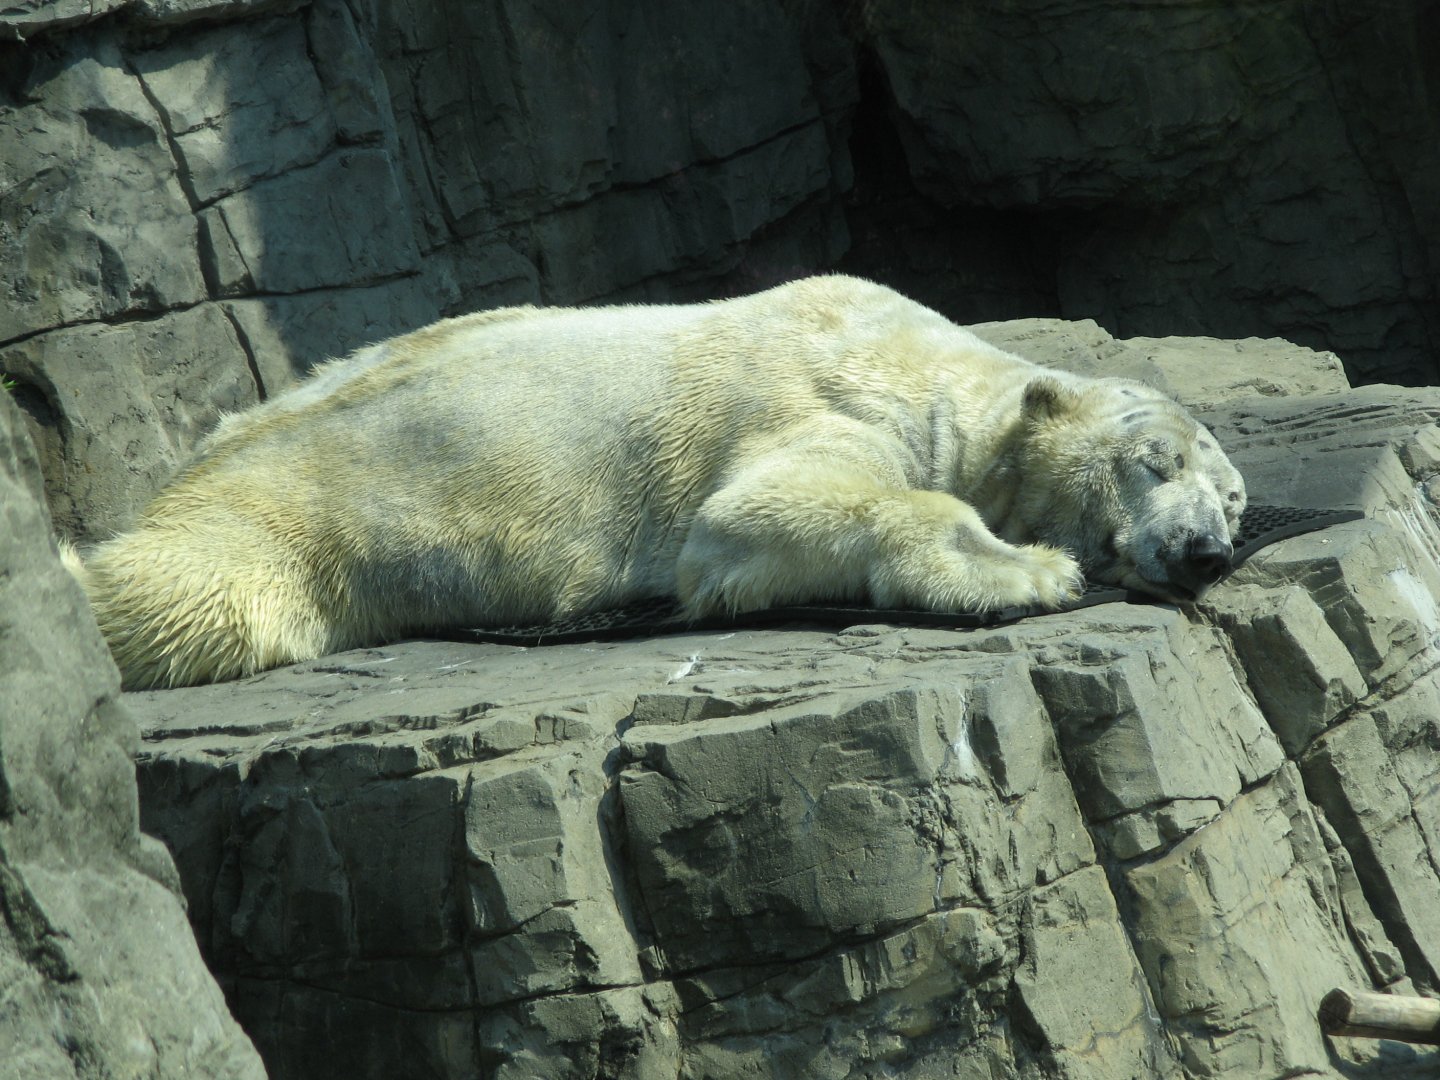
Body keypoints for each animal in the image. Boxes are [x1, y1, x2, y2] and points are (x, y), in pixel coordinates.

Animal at [66, 275, 1246, 690]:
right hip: (280, 519)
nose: (1206, 550)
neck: (932, 368)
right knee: (189, 591)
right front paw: (1030, 568)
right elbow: (756, 512)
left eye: (1233, 497)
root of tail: (191, 466)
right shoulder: (823, 393)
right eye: (1152, 461)